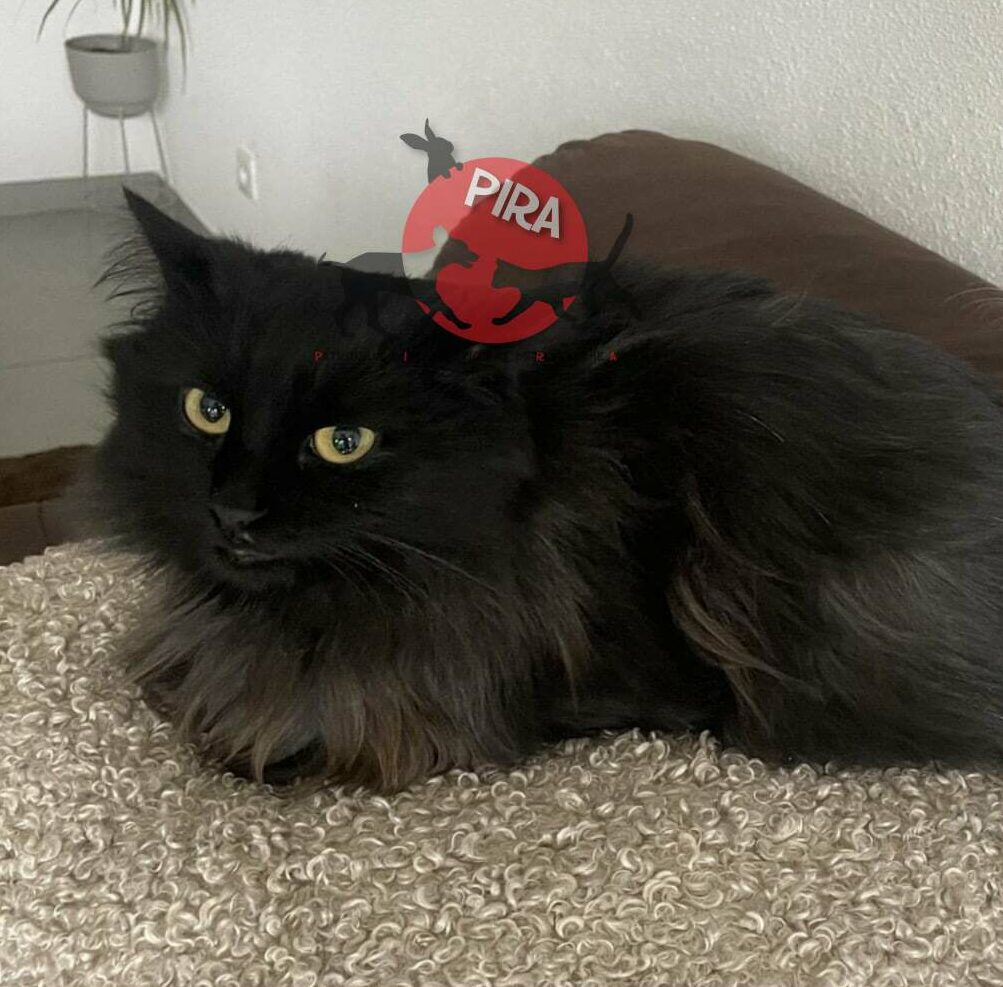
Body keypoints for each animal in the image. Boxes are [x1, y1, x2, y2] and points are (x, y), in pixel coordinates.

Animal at [491, 213, 639, 325]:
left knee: (597, 307)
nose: (492, 283)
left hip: (589, 291)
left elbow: (513, 312)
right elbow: (560, 313)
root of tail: (599, 263)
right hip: (607, 287)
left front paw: (498, 321)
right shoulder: (553, 300)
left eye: (495, 275)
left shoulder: (528, 299)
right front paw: (572, 319)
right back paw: (636, 314)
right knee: (625, 294)